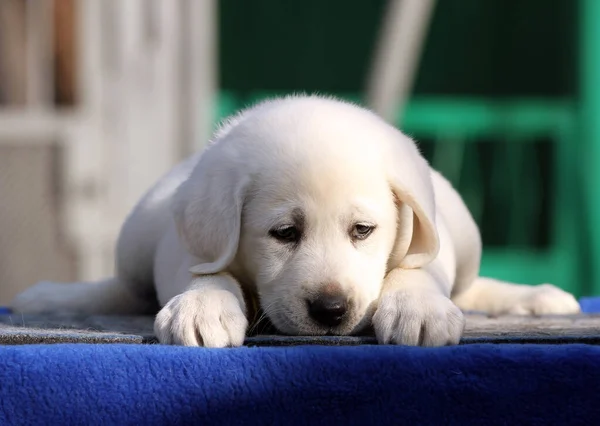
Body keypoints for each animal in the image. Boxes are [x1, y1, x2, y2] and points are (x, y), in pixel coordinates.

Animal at [10, 95, 580, 346]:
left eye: (363, 231)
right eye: (284, 233)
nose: (331, 310)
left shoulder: (426, 244)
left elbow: (413, 270)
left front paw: (418, 310)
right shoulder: (186, 248)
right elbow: (206, 275)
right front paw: (201, 309)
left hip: (464, 231)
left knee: (468, 284)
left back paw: (536, 296)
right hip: (135, 238)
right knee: (126, 290)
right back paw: (51, 297)